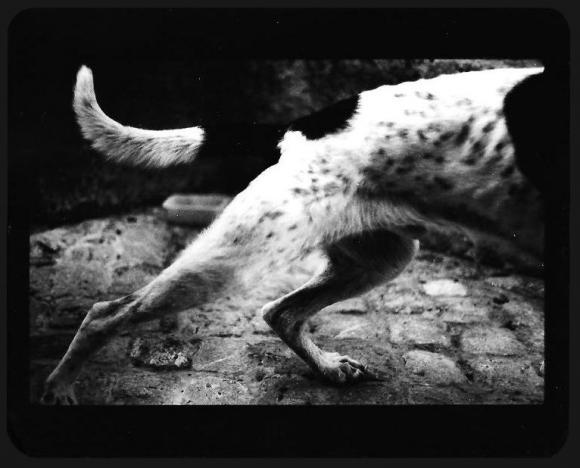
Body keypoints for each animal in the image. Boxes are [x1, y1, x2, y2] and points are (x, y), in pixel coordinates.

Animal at [40, 64, 544, 404]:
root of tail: (294, 129)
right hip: (234, 259)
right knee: (106, 313)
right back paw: (60, 387)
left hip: (381, 257)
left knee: (280, 312)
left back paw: (328, 368)